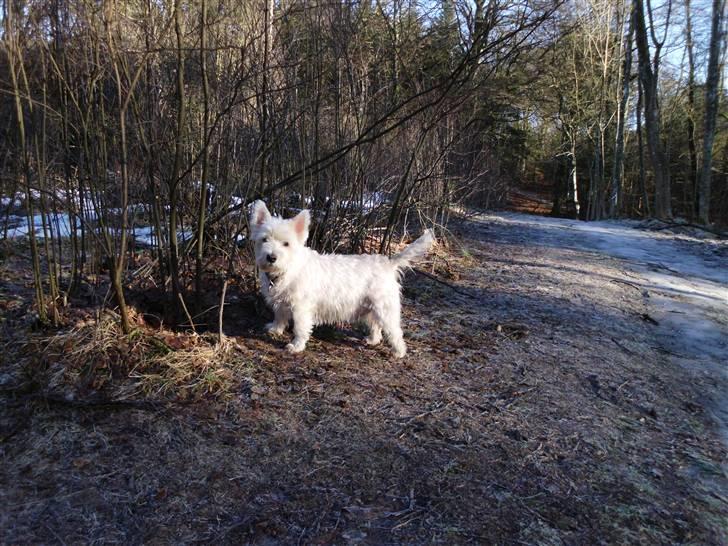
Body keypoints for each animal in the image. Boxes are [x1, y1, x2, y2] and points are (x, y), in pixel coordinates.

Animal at [250, 200, 432, 356]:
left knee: (395, 331)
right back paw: (372, 340)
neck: (287, 270)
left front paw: (296, 346)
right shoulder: (280, 302)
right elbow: (279, 316)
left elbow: (300, 328)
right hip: (370, 308)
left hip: (385, 309)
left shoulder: (301, 308)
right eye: (264, 239)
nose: (271, 257)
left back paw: (398, 352)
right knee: (375, 326)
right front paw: (275, 329)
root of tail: (388, 264)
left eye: (286, 244)